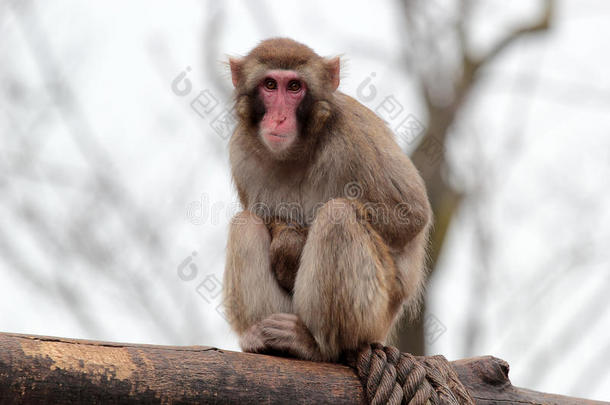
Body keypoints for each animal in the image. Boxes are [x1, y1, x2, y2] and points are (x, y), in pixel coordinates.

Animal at [221, 37, 430, 360]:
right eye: (270, 85)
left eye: (295, 87)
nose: (279, 117)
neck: (298, 150)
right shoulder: (241, 152)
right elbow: (260, 216)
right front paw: (286, 242)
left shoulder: (354, 136)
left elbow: (408, 218)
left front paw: (290, 248)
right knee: (245, 223)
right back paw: (266, 341)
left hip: (376, 315)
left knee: (338, 215)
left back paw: (315, 345)